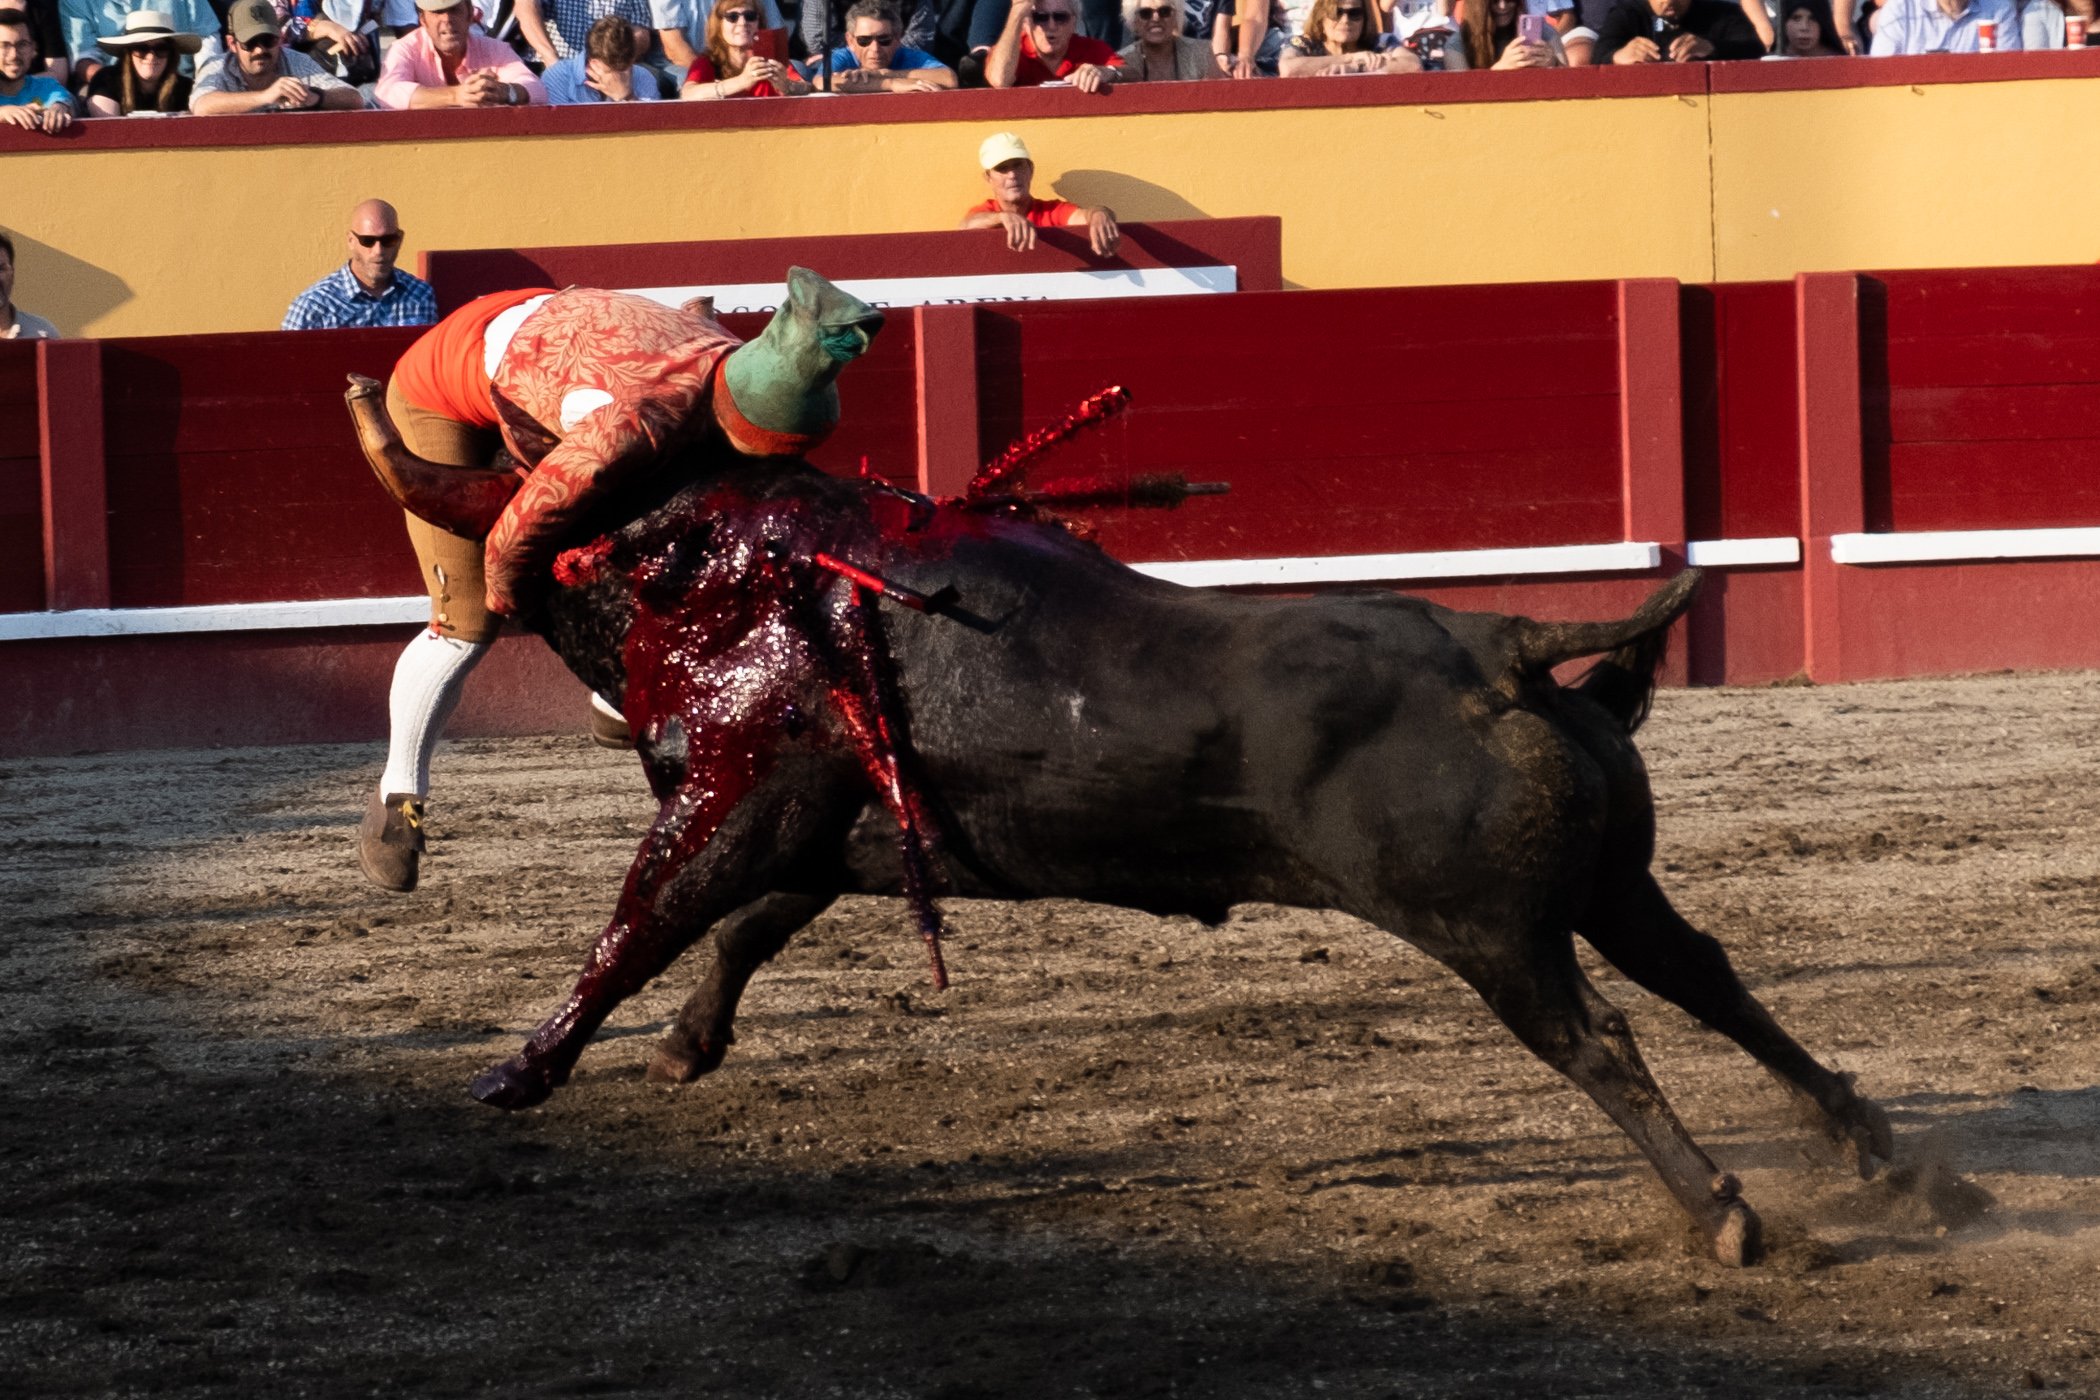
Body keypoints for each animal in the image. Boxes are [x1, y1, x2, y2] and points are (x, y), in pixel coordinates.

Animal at [468, 468, 1898, 1267]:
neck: (752, 585)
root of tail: (1500, 640)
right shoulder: (833, 828)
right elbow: (745, 927)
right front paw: (682, 1046)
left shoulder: (747, 805)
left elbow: (651, 917)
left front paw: (524, 1069)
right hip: (1609, 889)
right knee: (1709, 977)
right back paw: (1874, 1144)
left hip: (1489, 931)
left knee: (1596, 1035)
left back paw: (1723, 1211)